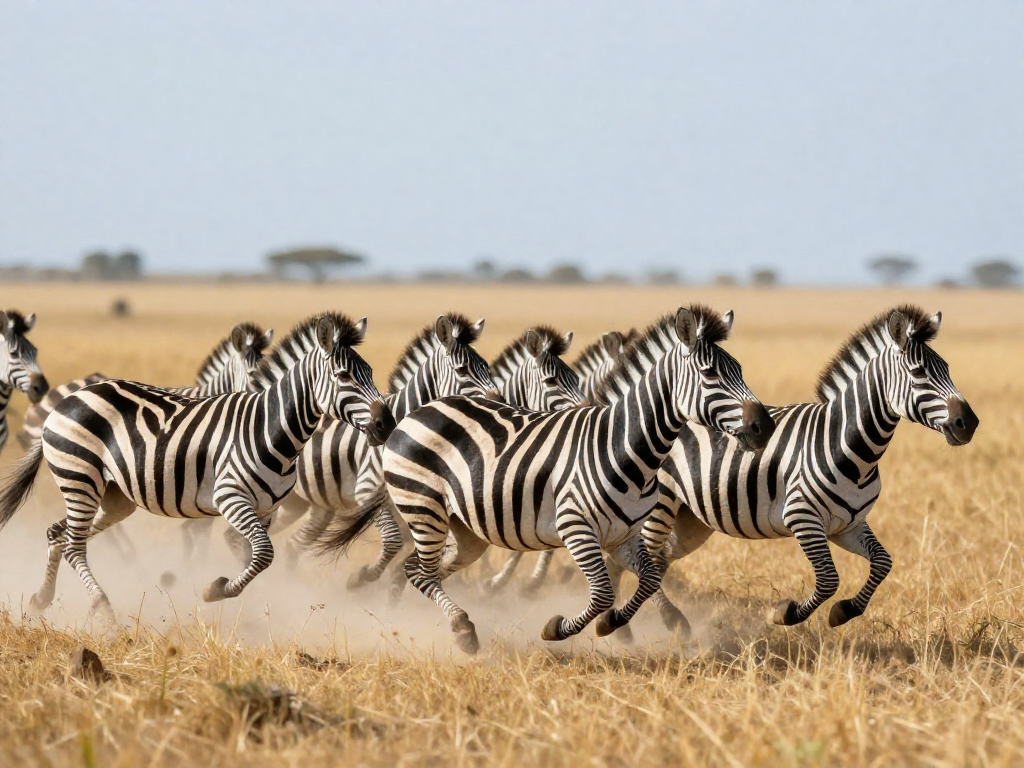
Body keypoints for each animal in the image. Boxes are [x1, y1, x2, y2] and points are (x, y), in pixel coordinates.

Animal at [277, 313, 500, 584]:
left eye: (486, 366)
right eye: (462, 370)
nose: (501, 401)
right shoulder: (367, 491)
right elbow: (393, 542)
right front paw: (363, 577)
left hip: (309, 506)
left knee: (289, 544)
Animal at [327, 306, 775, 653]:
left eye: (739, 369)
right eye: (710, 373)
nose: (764, 427)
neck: (626, 447)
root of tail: (418, 411)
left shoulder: (625, 534)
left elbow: (649, 579)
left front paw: (614, 624)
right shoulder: (575, 527)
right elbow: (602, 592)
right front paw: (556, 629)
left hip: (465, 530)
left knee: (421, 570)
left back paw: (412, 613)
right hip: (423, 507)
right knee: (421, 571)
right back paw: (462, 630)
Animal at [630, 305, 978, 631]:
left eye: (947, 368)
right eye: (918, 372)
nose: (970, 423)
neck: (850, 449)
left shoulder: (848, 525)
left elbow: (883, 562)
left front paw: (845, 610)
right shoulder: (802, 518)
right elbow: (828, 579)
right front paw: (786, 613)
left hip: (691, 521)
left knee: (655, 558)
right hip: (662, 505)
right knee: (647, 556)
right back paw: (668, 619)